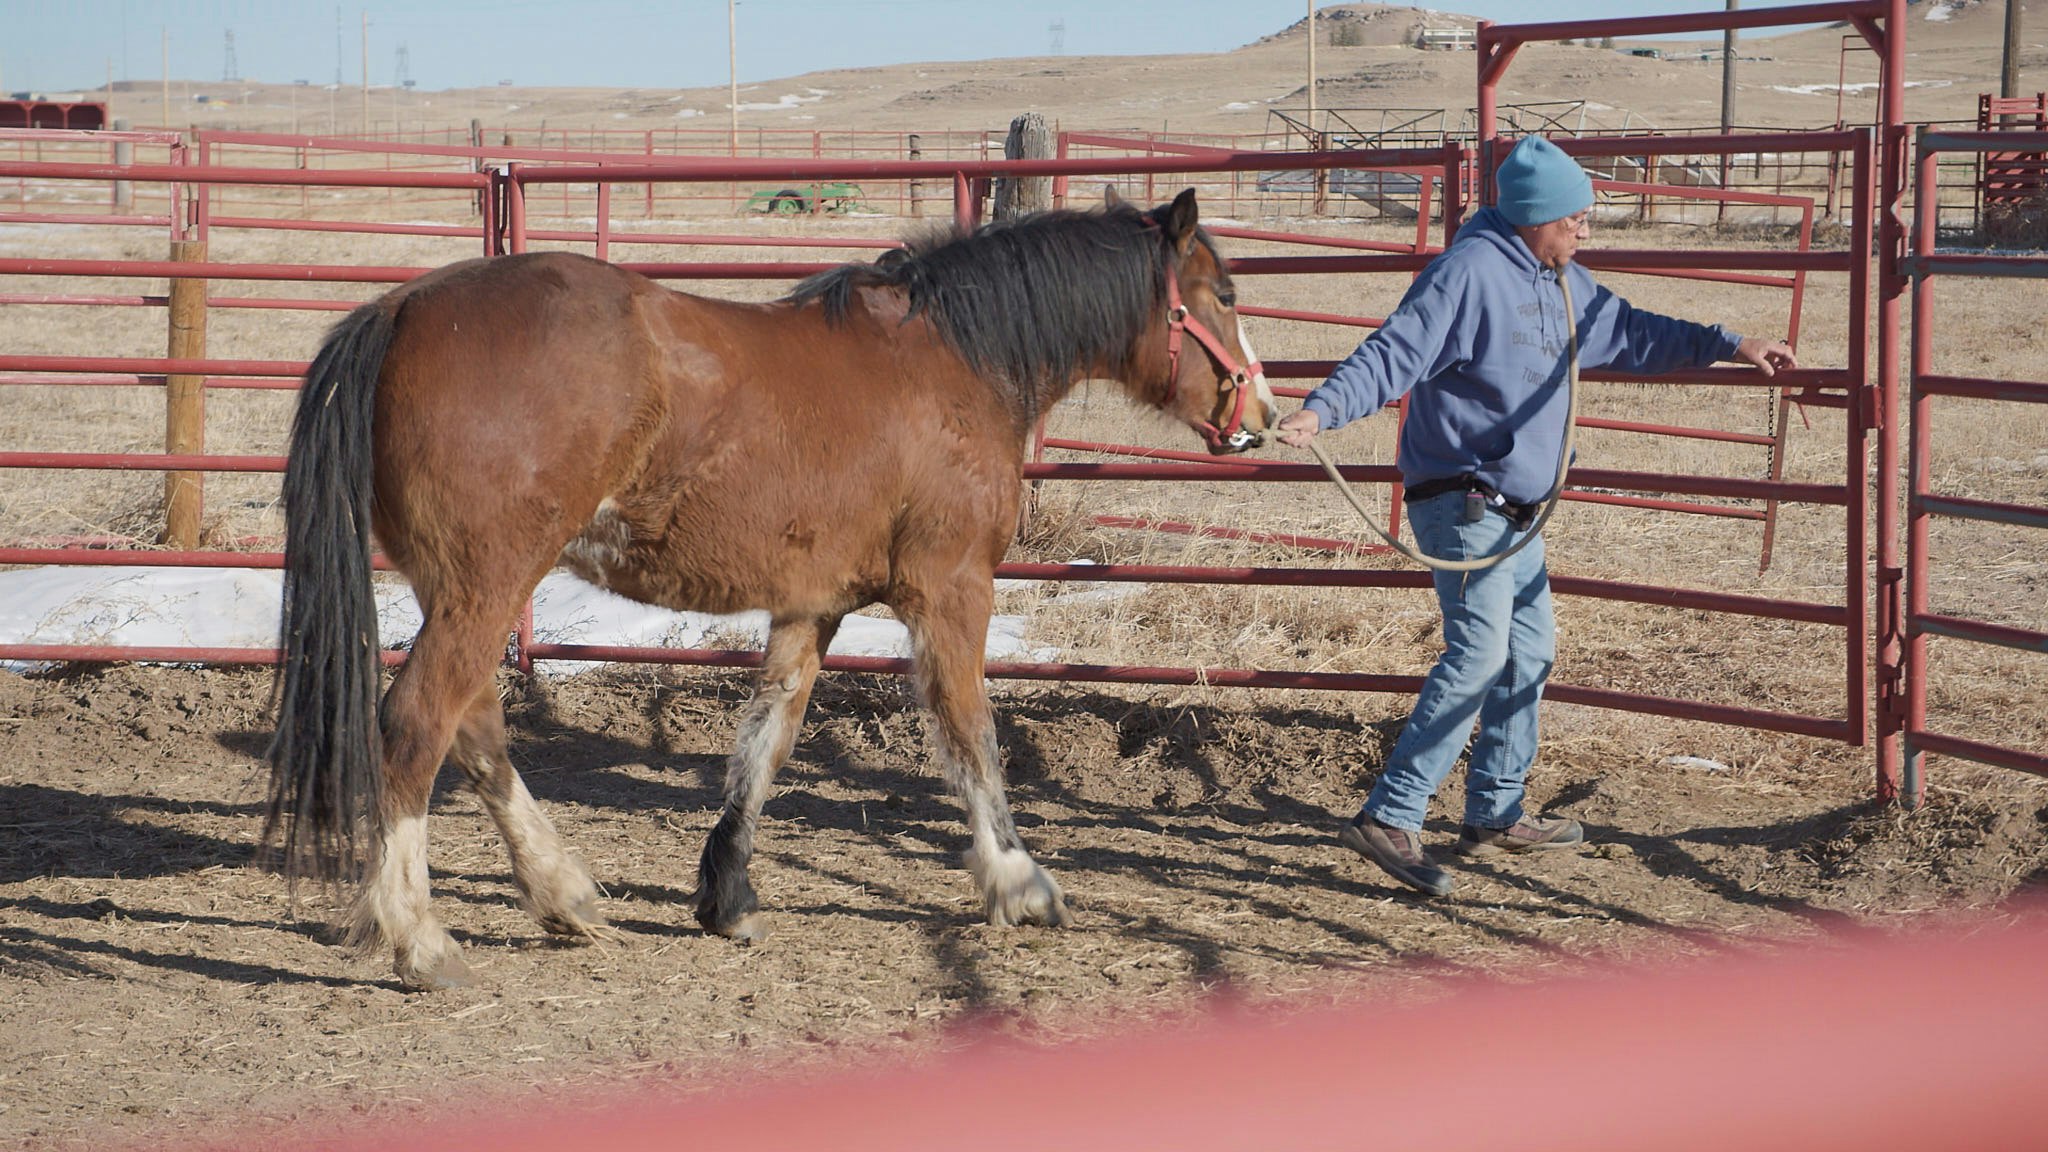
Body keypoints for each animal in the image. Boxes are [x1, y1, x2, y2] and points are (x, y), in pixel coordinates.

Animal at [264, 188, 1269, 988]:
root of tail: (401, 308)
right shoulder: (951, 592)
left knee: (474, 730)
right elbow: (971, 734)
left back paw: (565, 896)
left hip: (464, 588)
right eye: (1221, 295)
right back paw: (422, 941)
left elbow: (767, 740)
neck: (955, 361)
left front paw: (728, 893)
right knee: (417, 726)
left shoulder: (812, 605)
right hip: (487, 583)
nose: (1258, 414)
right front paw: (1019, 883)